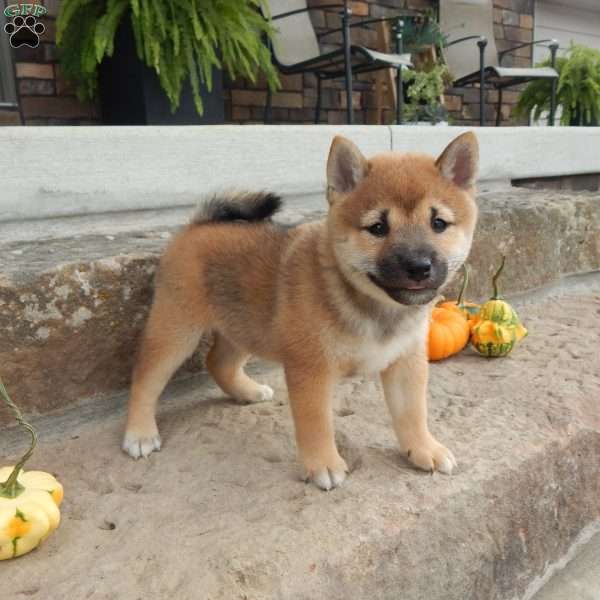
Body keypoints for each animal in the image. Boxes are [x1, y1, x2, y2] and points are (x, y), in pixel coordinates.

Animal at [122, 130, 478, 488]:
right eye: (378, 227)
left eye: (438, 223)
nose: (418, 266)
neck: (374, 307)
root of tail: (196, 225)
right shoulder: (311, 368)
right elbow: (316, 423)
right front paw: (323, 464)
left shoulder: (406, 361)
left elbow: (413, 414)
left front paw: (424, 448)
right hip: (176, 331)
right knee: (145, 379)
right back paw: (139, 433)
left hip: (248, 327)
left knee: (218, 363)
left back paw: (247, 391)